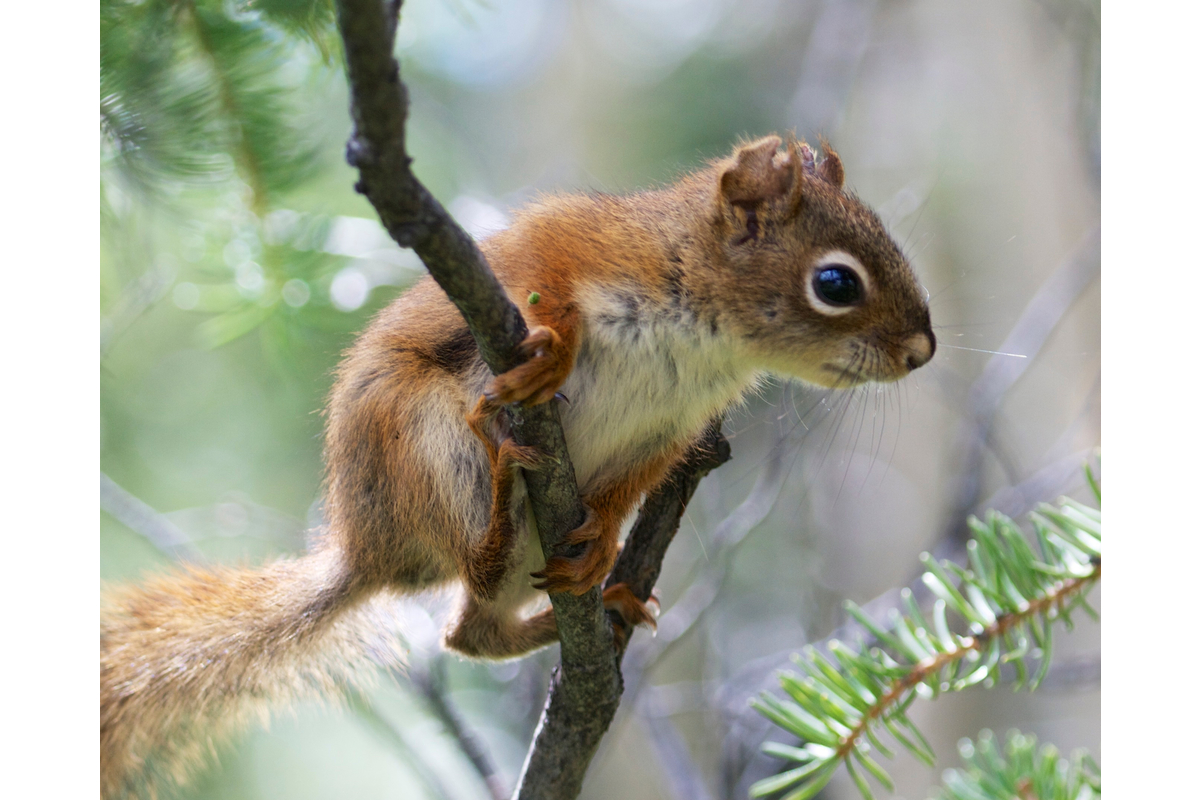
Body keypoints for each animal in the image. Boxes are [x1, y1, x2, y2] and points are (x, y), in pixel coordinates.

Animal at [100, 134, 935, 797]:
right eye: (836, 283)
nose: (923, 352)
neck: (707, 335)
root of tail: (365, 551)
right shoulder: (571, 243)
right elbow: (545, 278)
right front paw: (554, 350)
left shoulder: (671, 432)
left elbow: (632, 485)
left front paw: (604, 541)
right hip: (420, 444)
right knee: (474, 565)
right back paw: (504, 488)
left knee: (471, 632)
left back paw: (604, 598)